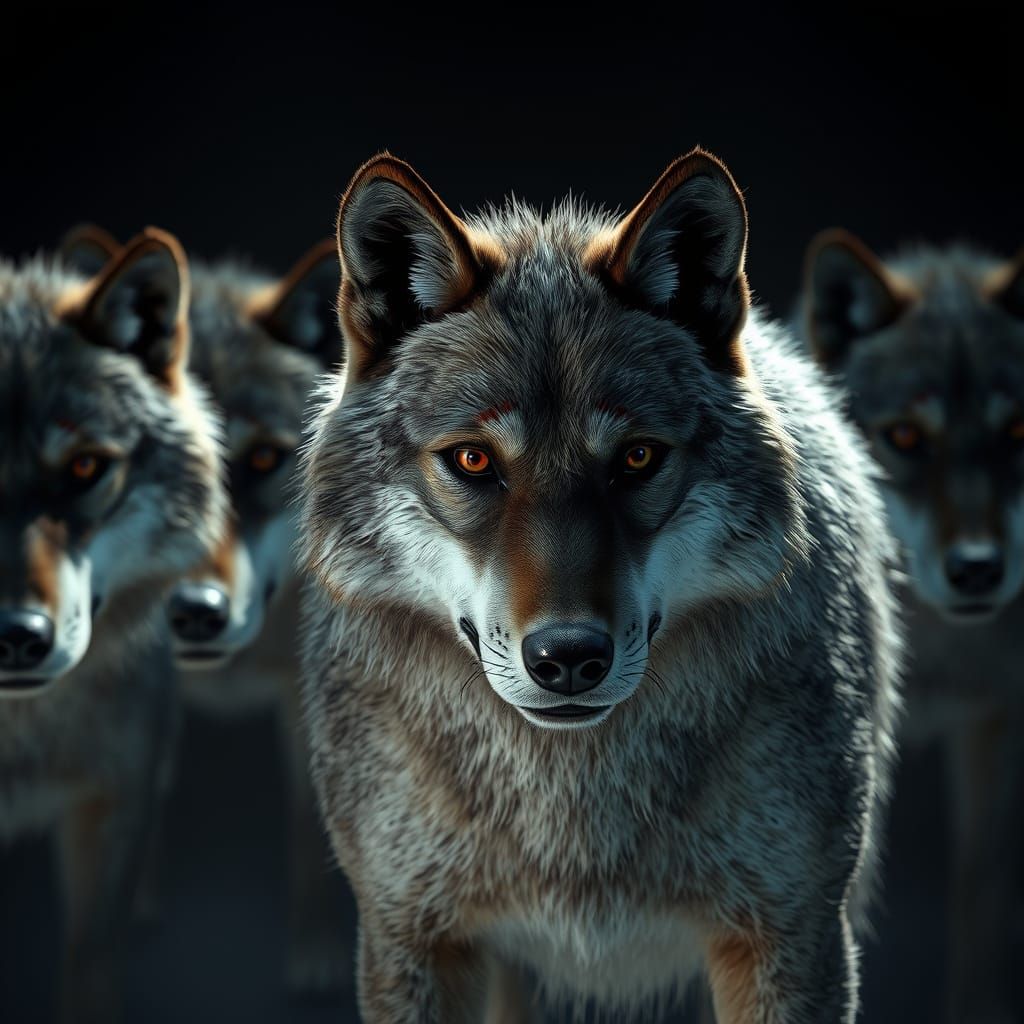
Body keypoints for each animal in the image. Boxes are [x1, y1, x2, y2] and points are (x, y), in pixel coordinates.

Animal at [62, 226, 347, 991]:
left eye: (263, 461)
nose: (193, 610)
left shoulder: (306, 699)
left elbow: (309, 822)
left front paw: (314, 947)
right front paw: (132, 901)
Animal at [296, 149, 902, 1022]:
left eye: (638, 458)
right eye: (473, 460)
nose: (569, 657)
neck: (571, 804)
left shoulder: (793, 934)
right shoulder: (409, 936)